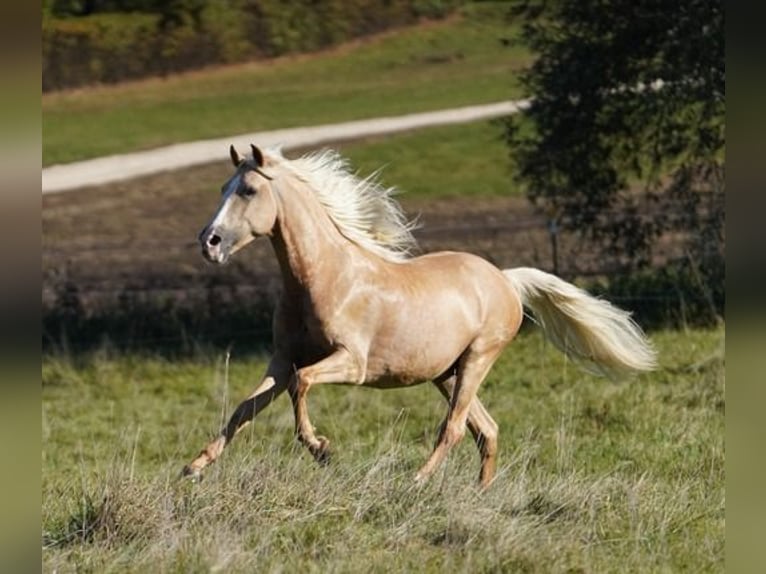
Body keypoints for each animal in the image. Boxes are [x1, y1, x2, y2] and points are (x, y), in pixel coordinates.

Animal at [182, 146, 660, 488]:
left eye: (248, 190)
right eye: (223, 186)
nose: (209, 242)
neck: (326, 278)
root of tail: (505, 279)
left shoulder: (351, 363)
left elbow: (303, 386)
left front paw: (322, 449)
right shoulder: (282, 360)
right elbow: (244, 409)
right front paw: (195, 466)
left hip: (477, 361)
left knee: (454, 428)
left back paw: (418, 480)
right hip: (446, 373)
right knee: (486, 429)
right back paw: (478, 494)